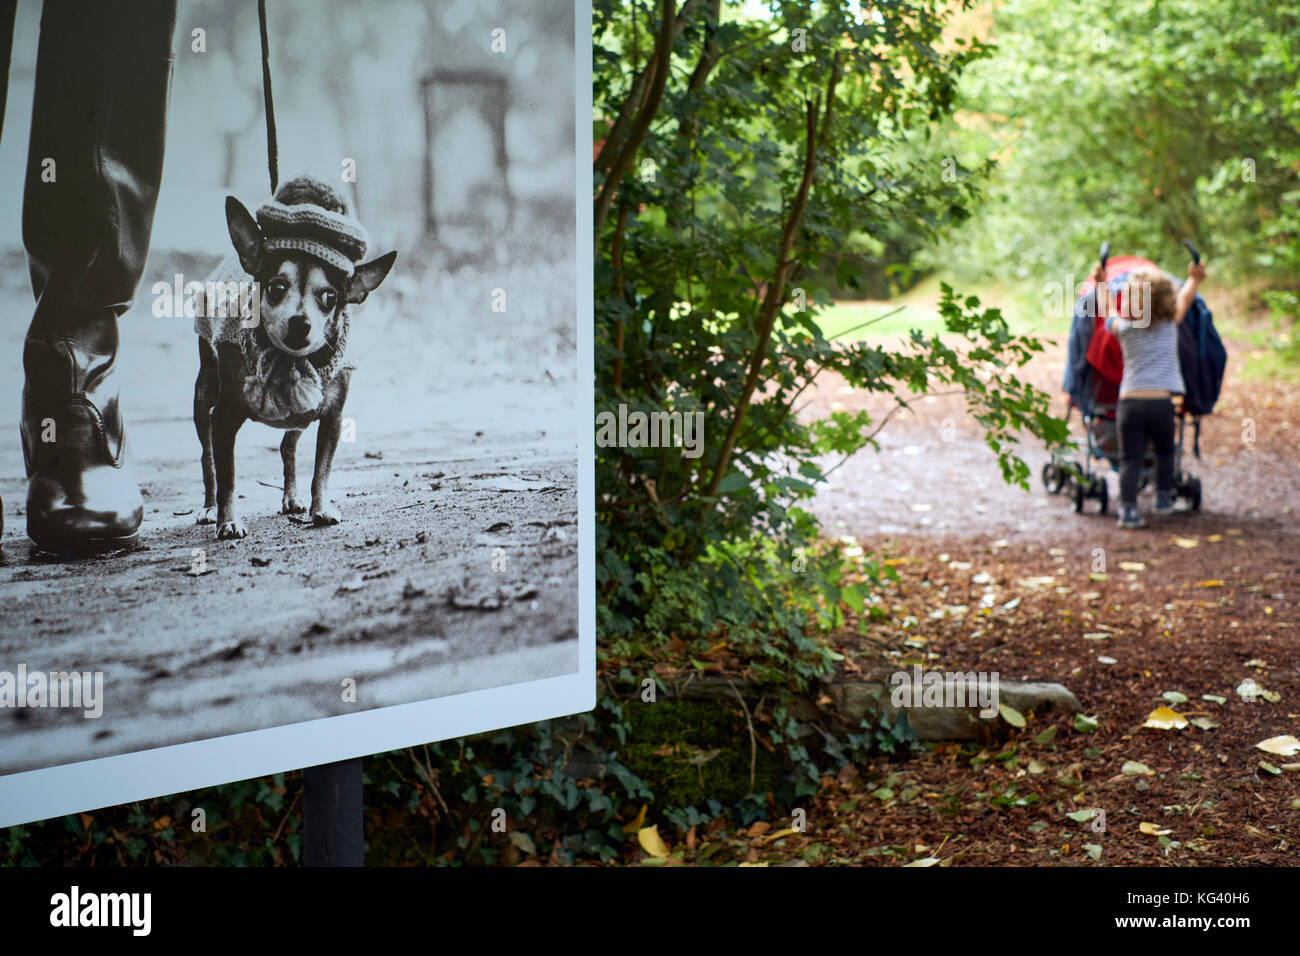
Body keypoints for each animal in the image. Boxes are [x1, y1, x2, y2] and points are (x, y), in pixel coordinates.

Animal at [193, 178, 395, 538]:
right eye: (275, 287)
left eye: (330, 297)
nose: (301, 322)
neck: (287, 362)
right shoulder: (223, 418)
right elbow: (228, 476)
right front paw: (228, 520)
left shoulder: (331, 418)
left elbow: (321, 471)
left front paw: (321, 509)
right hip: (203, 397)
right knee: (207, 458)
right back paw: (208, 508)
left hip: (299, 417)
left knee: (288, 448)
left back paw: (291, 498)